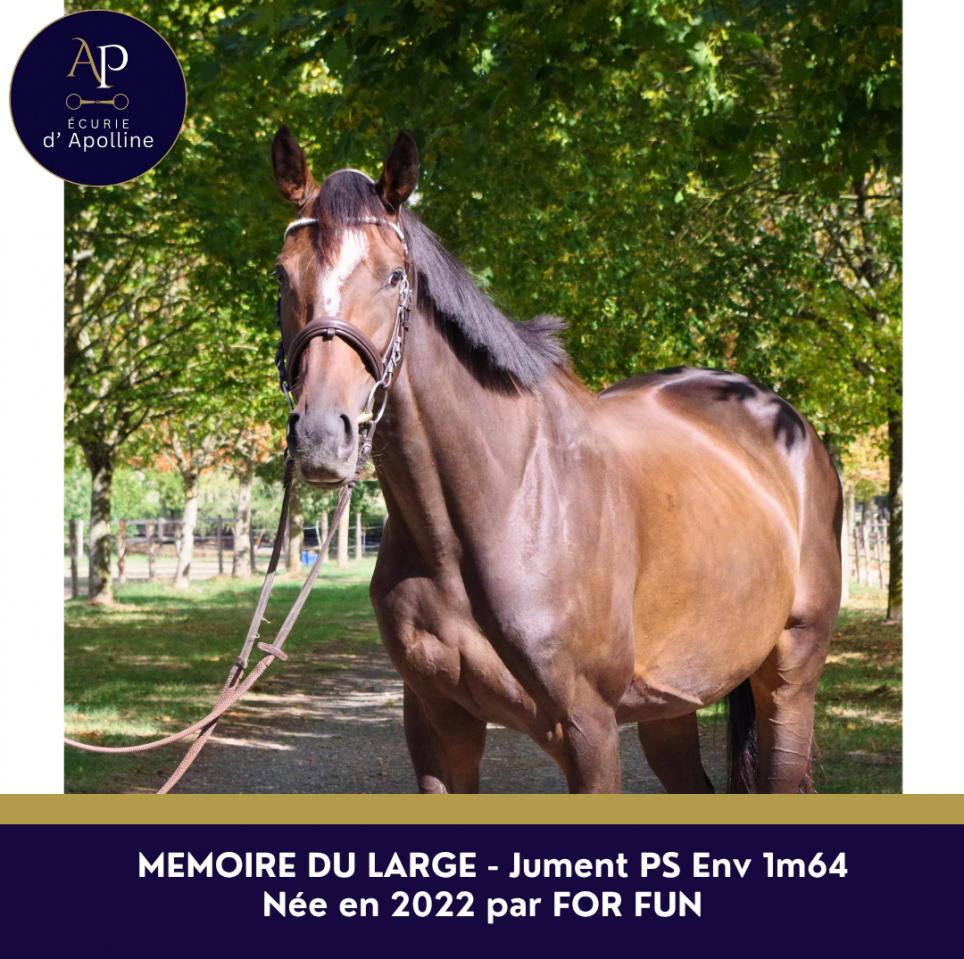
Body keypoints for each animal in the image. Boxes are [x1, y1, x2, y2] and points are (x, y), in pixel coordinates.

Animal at [270, 126, 843, 794]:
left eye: (392, 277)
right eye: (282, 275)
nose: (319, 434)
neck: (495, 508)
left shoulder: (588, 729)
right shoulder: (436, 725)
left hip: (790, 679)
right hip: (670, 703)